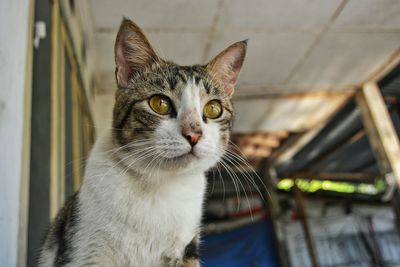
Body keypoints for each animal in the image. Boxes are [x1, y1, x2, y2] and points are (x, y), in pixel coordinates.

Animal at [39, 17, 247, 266]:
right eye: (159, 103)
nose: (194, 133)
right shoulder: (85, 251)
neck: (159, 186)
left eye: (213, 109)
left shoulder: (186, 251)